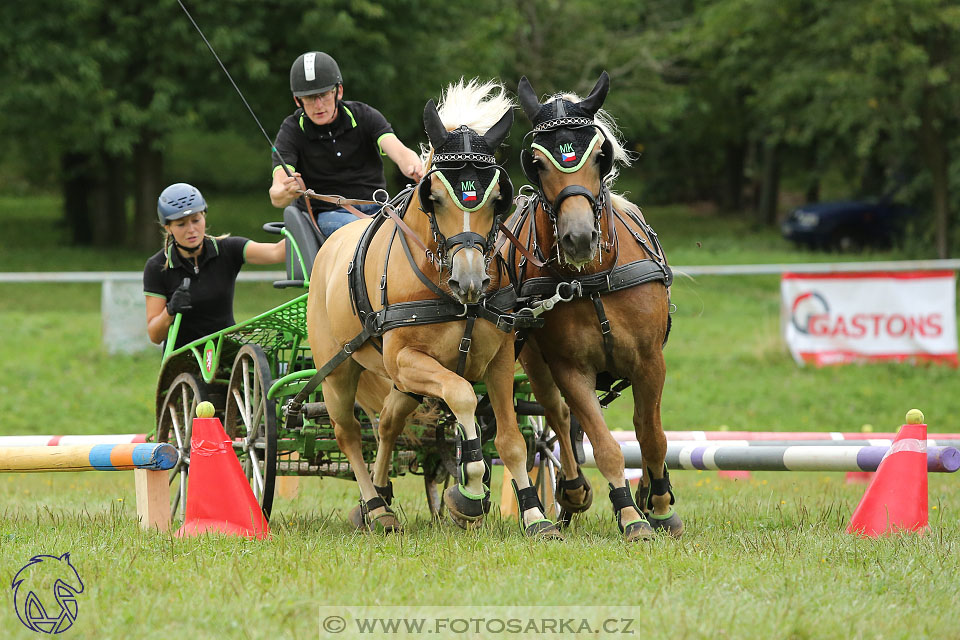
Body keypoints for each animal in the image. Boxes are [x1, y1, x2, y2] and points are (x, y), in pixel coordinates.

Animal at [308, 81, 564, 540]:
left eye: (497, 199)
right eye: (436, 197)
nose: (471, 282)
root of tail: (330, 246)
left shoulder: (499, 360)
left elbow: (512, 440)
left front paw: (536, 516)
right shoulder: (406, 359)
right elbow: (462, 396)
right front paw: (470, 493)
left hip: (402, 384)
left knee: (388, 422)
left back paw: (380, 493)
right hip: (339, 371)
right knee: (349, 433)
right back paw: (376, 507)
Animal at [506, 71, 688, 540]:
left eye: (599, 154)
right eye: (537, 162)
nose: (579, 238)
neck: (590, 279)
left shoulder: (650, 361)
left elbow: (651, 435)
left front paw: (660, 505)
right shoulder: (569, 368)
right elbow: (603, 443)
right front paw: (629, 514)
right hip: (531, 356)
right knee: (555, 416)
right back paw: (571, 493)